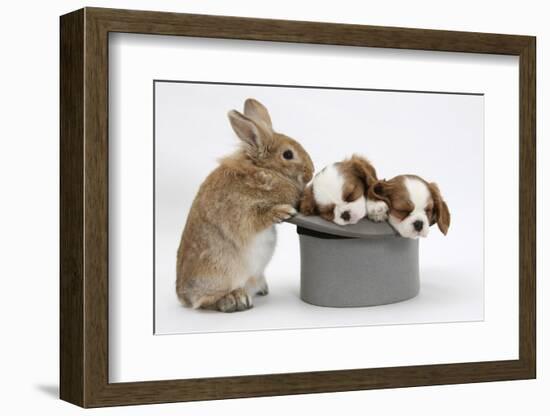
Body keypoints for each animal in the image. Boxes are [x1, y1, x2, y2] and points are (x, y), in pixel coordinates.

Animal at [177, 97, 314, 312]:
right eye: (288, 155)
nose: (311, 171)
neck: (263, 169)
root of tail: (183, 297)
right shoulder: (241, 211)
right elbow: (259, 217)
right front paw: (283, 212)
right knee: (205, 301)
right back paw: (235, 299)